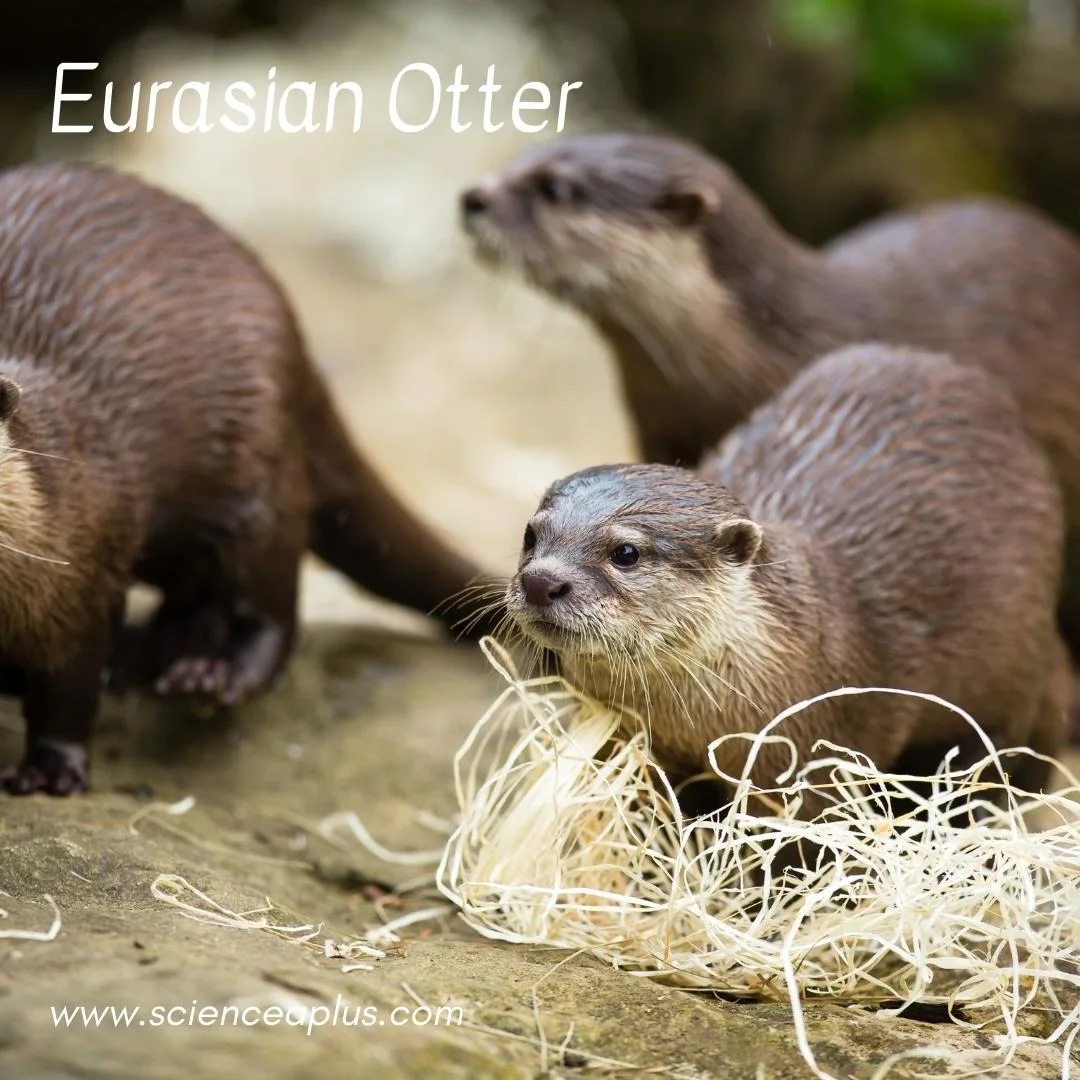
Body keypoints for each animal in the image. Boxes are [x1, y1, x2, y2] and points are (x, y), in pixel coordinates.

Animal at [0, 161, 494, 796]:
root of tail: (299, 349)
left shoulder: (80, 571)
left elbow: (68, 685)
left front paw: (50, 770)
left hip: (255, 482)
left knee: (270, 610)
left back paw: (208, 676)